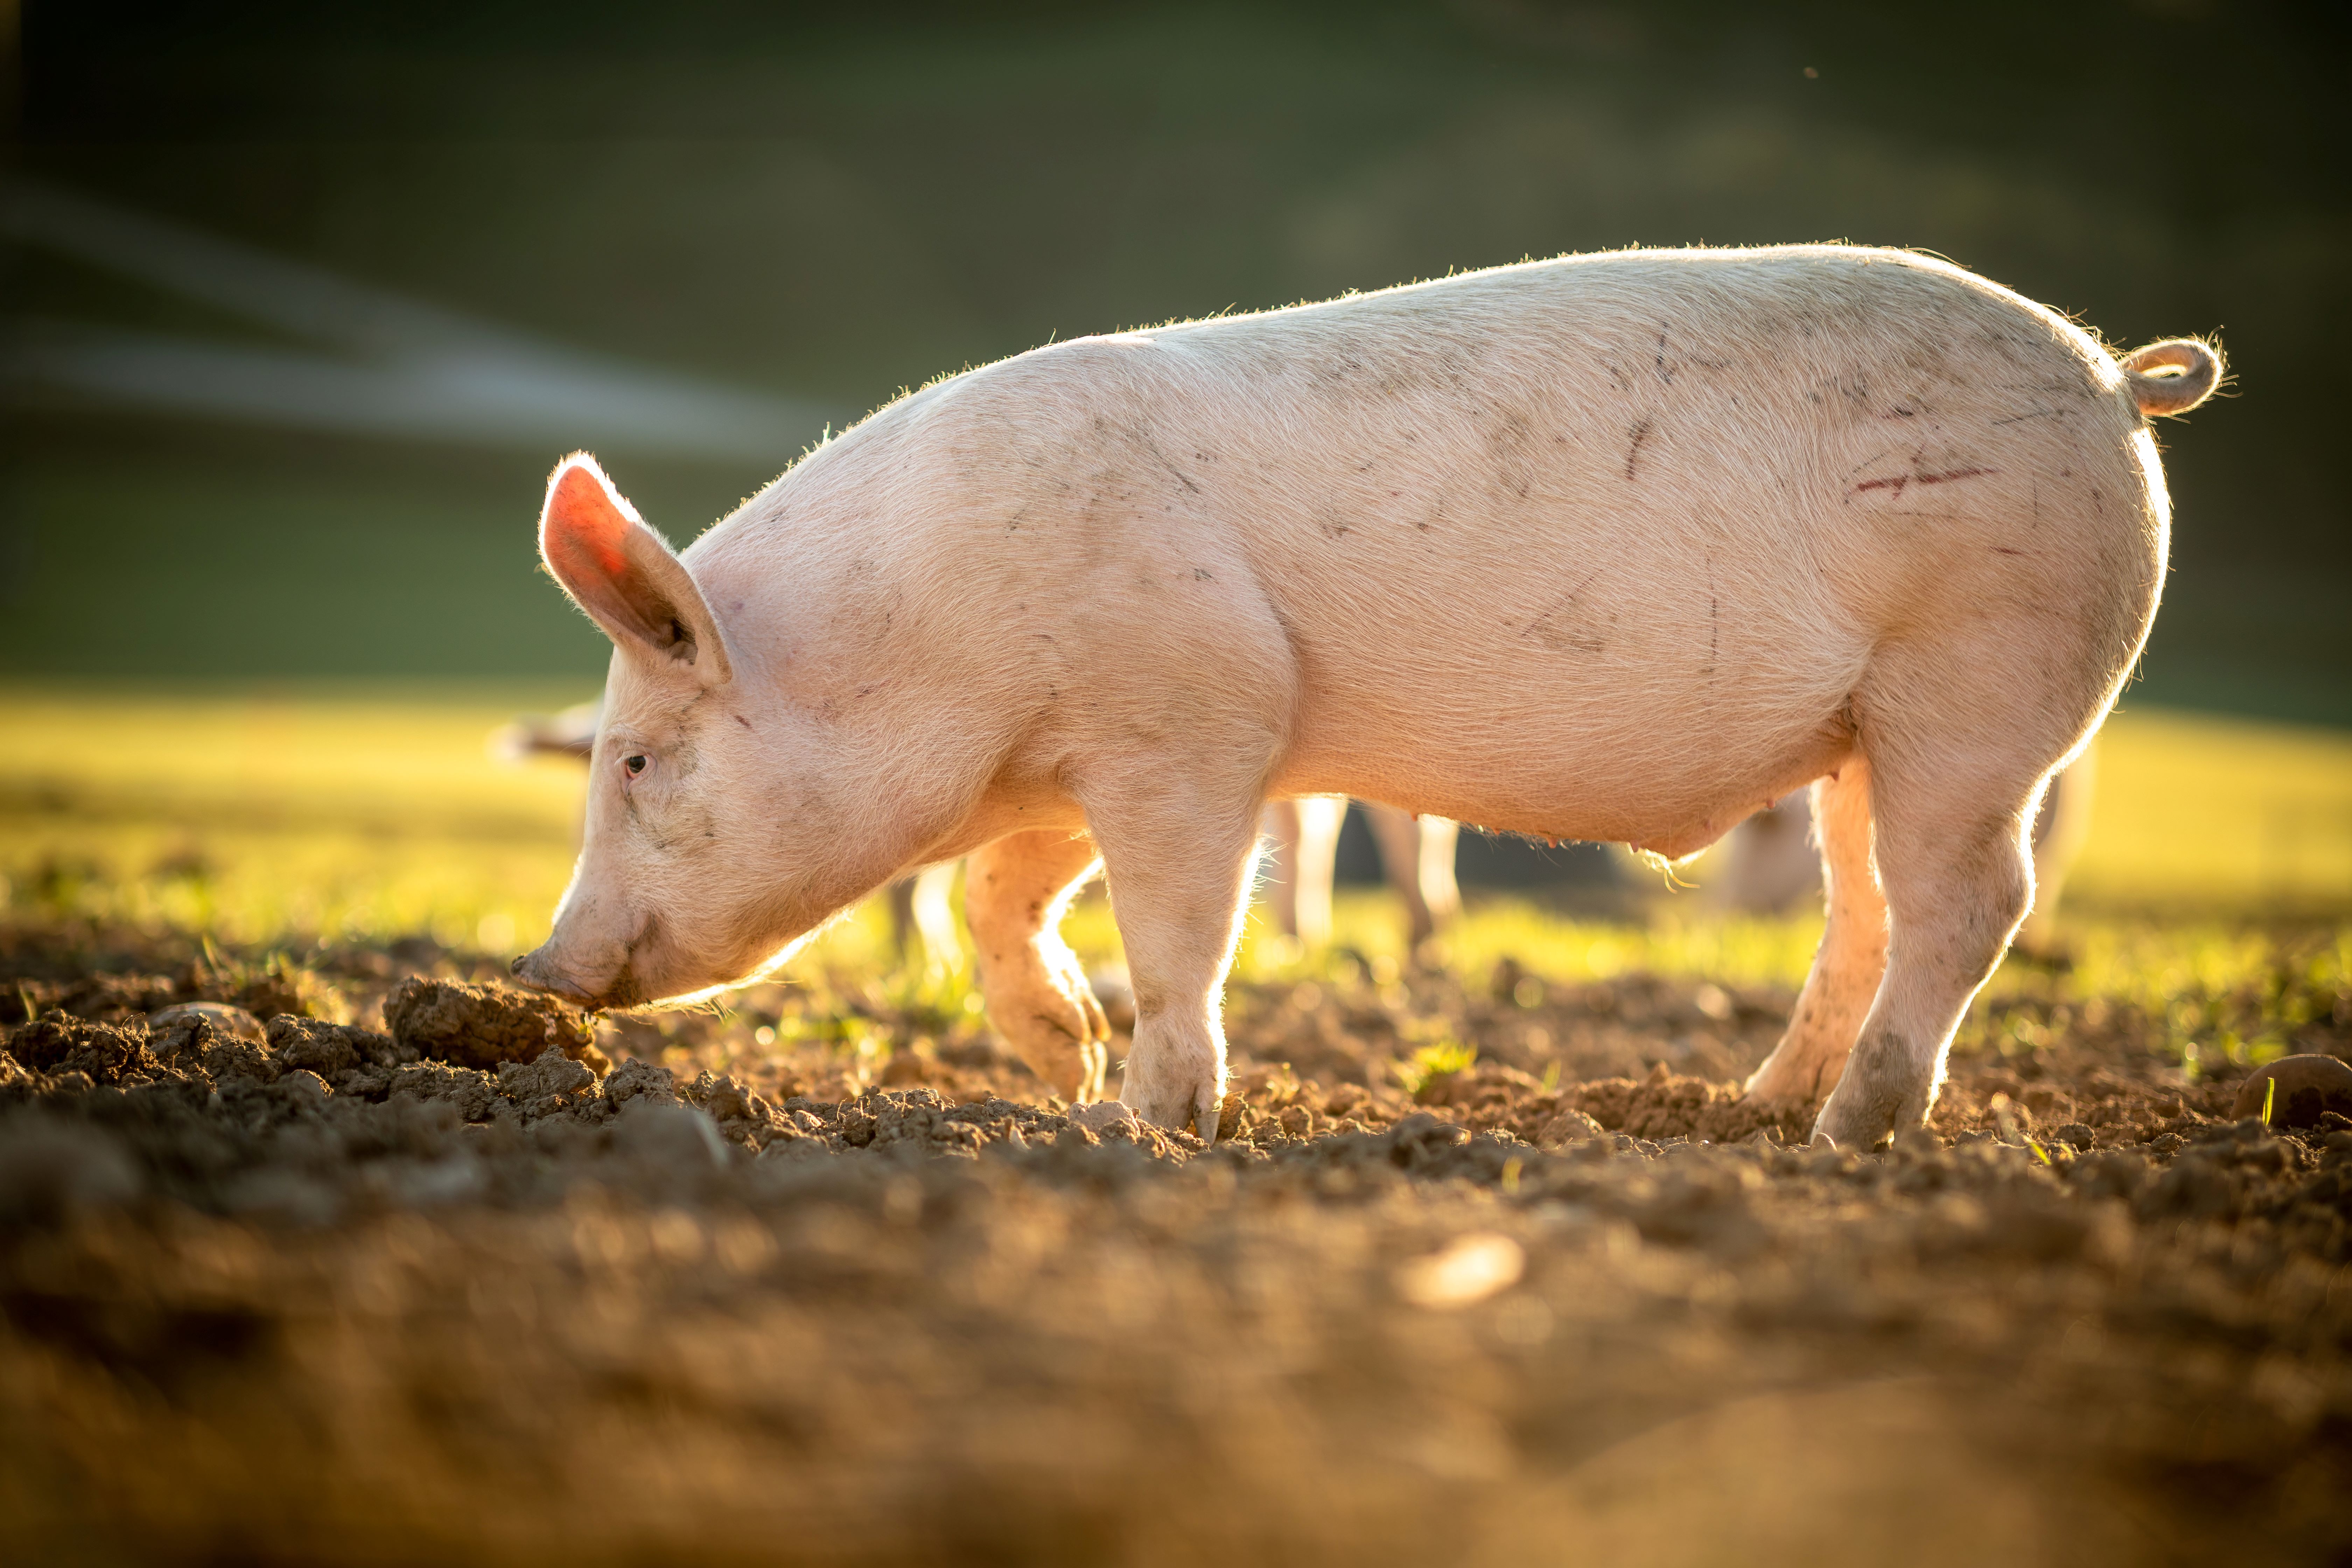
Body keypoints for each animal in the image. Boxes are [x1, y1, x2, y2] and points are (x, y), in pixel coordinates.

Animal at [515, 248, 2220, 1152]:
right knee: (1856, 906)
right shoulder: (1077, 754)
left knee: (1970, 902)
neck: (931, 633)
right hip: (1864, 734)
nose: (545, 966)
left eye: (637, 760)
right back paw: (1750, 1105)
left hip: (1982, 686)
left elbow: (1179, 933)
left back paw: (1843, 1134)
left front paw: (1146, 1121)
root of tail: (2109, 380)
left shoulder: (1190, 720)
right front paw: (1064, 1064)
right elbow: (1005, 895)